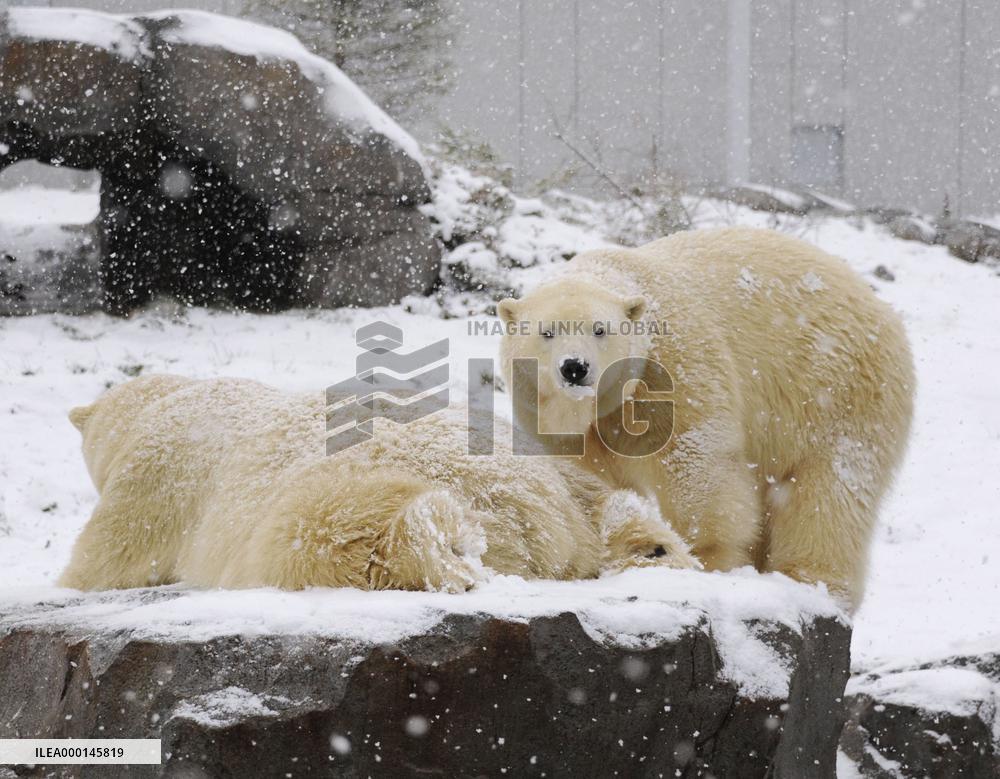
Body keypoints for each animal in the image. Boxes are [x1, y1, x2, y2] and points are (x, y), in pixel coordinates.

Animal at [58, 374, 699, 592]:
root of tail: (541, 518)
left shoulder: (156, 475)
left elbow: (105, 558)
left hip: (337, 491)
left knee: (331, 533)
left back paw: (440, 548)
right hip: (553, 467)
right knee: (606, 502)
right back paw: (655, 547)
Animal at [498, 226, 914, 610]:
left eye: (601, 329)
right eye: (546, 331)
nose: (574, 368)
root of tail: (881, 309)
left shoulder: (674, 367)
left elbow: (696, 458)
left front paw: (705, 558)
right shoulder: (564, 421)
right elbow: (588, 475)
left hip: (837, 388)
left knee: (829, 487)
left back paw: (811, 579)